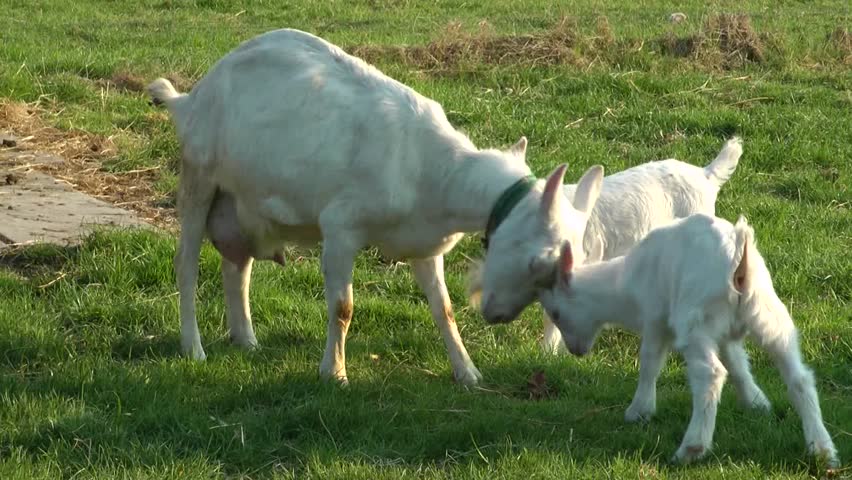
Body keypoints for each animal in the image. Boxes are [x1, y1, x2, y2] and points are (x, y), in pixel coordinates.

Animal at [147, 28, 603, 385]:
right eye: (541, 264)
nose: (497, 317)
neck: (434, 168)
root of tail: (191, 97)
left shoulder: (425, 245)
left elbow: (445, 310)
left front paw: (467, 372)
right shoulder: (340, 227)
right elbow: (342, 307)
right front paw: (335, 373)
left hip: (242, 206)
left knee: (236, 267)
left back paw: (246, 339)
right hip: (199, 177)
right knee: (186, 263)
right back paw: (194, 347)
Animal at [538, 214, 839, 465]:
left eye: (556, 313)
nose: (575, 351)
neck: (624, 283)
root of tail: (738, 255)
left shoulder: (656, 317)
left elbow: (649, 363)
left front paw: (639, 411)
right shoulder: (725, 336)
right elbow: (739, 366)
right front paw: (757, 403)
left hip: (695, 322)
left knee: (711, 374)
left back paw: (691, 448)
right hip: (769, 316)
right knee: (799, 377)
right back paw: (822, 450)